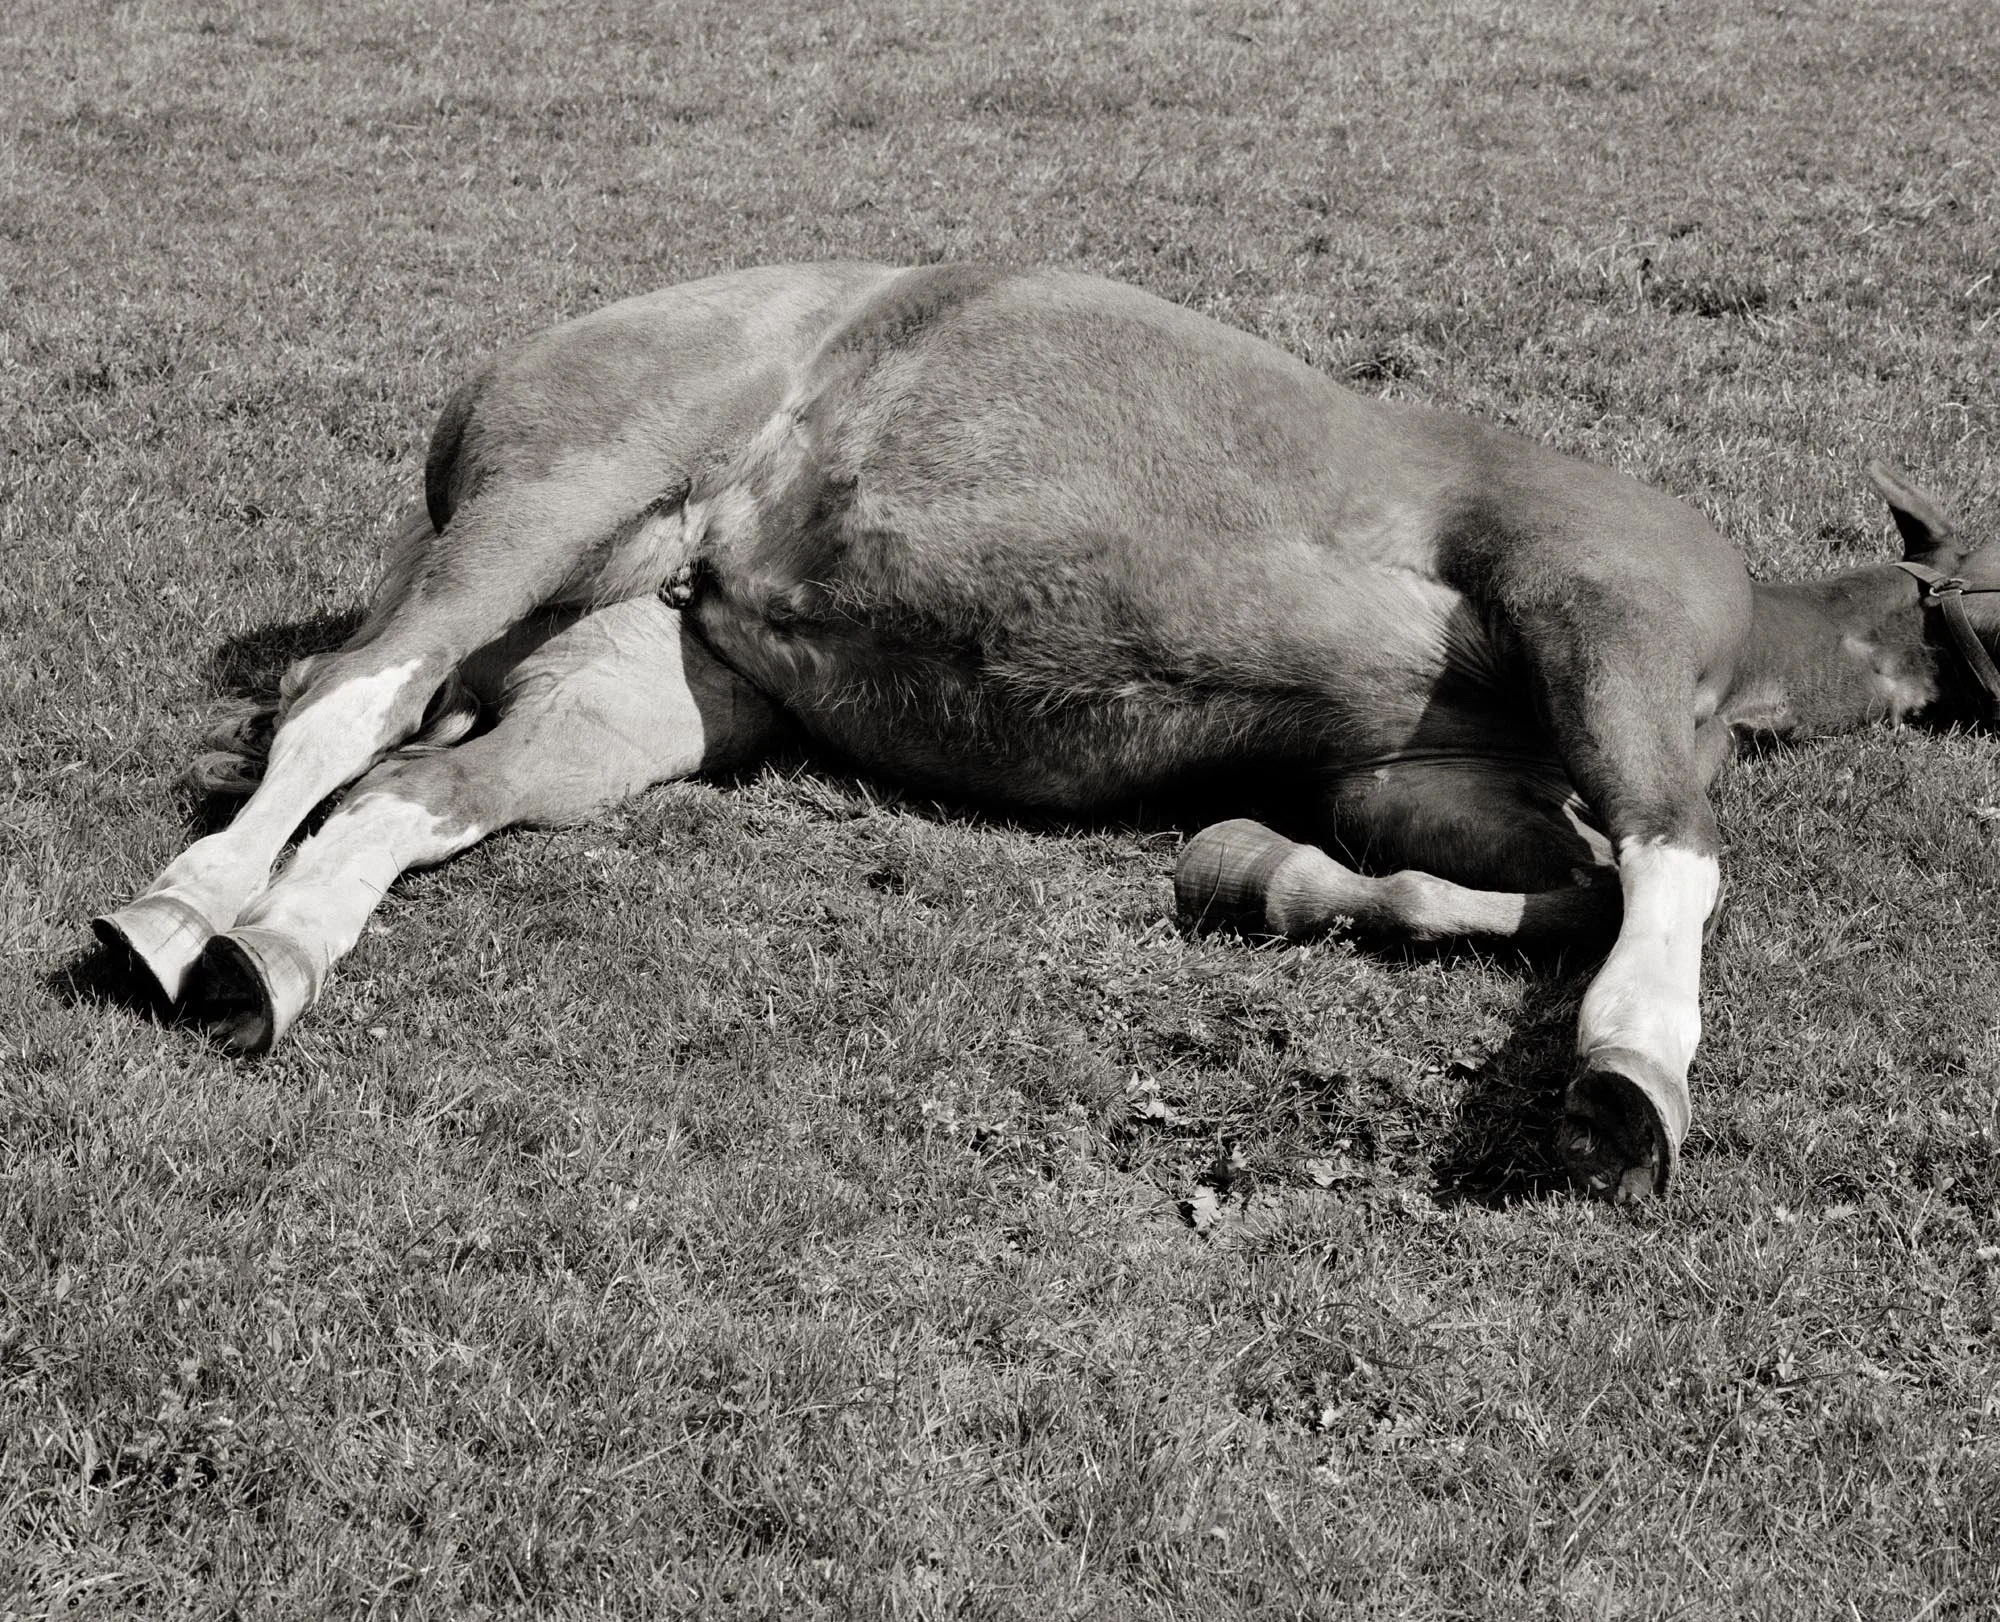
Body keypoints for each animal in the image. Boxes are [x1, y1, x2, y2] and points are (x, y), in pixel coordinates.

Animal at [91, 262, 1999, 1202]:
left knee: (407, 784)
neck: (1749, 633)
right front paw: (1630, 1069)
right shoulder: (1597, 602)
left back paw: (270, 953)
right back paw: (175, 909)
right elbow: (1672, 860)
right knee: (343, 705)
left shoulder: (1413, 786)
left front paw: (1261, 875)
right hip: (557, 495)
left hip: (631, 693)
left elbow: (1554, 878)